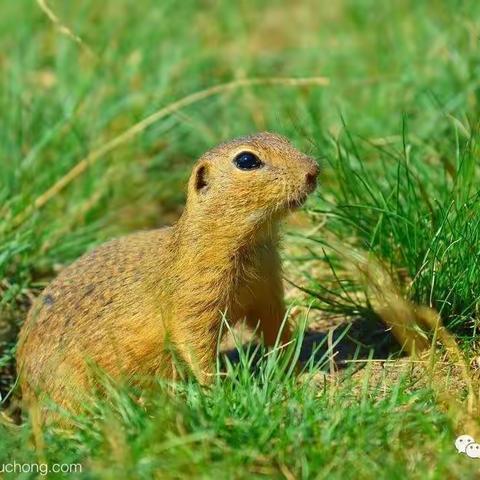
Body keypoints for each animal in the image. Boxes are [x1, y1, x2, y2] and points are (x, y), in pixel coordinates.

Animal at [16, 130, 320, 420]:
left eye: (283, 139)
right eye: (246, 160)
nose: (314, 170)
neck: (252, 244)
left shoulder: (267, 287)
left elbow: (276, 328)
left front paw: (300, 372)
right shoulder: (194, 297)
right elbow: (195, 343)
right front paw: (219, 391)